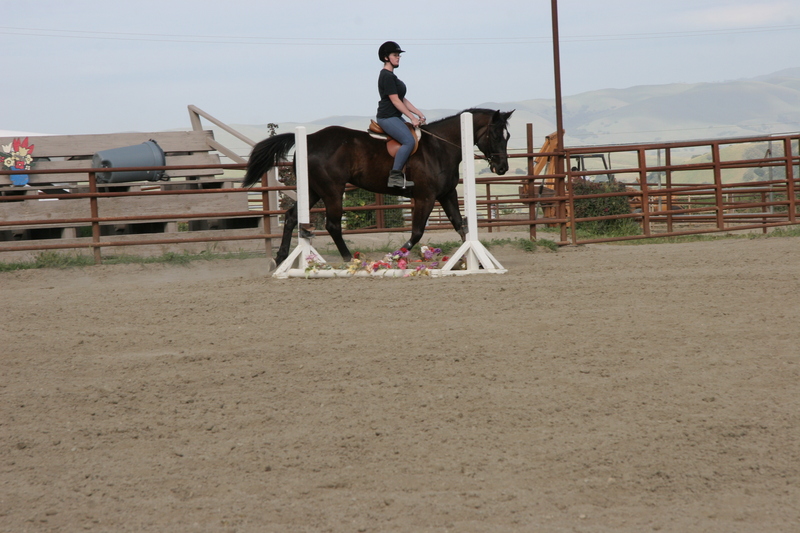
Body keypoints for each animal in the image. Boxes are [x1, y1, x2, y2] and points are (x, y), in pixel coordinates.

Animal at [243, 108, 514, 265]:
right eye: (495, 135)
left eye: (507, 136)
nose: (502, 168)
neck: (441, 147)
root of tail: (308, 137)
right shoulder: (425, 197)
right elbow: (417, 232)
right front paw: (393, 256)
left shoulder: (446, 194)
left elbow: (461, 227)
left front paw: (472, 261)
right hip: (332, 190)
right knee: (333, 225)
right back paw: (348, 258)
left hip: (313, 190)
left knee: (291, 217)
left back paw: (280, 258)